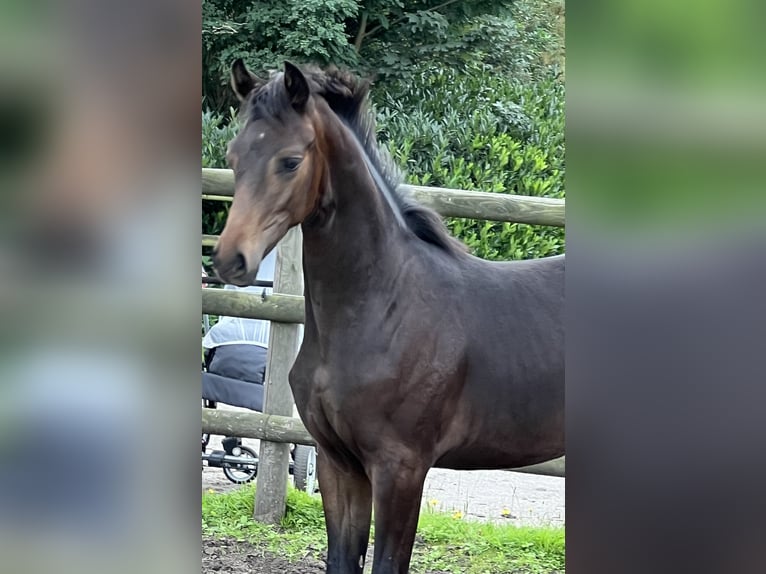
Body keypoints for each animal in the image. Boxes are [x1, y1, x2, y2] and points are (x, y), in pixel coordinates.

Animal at [213, 62, 568, 574]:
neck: (383, 306)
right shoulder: (339, 464)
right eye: (233, 156)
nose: (230, 259)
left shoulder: (401, 468)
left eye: (290, 161)